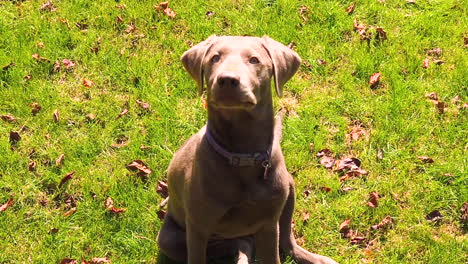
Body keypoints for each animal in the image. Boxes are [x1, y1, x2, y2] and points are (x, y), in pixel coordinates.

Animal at [157, 35, 336, 264]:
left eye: (254, 60)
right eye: (215, 58)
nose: (227, 80)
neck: (242, 153)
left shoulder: (269, 224)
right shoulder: (198, 227)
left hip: (288, 188)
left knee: (286, 240)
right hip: (170, 238)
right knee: (237, 246)